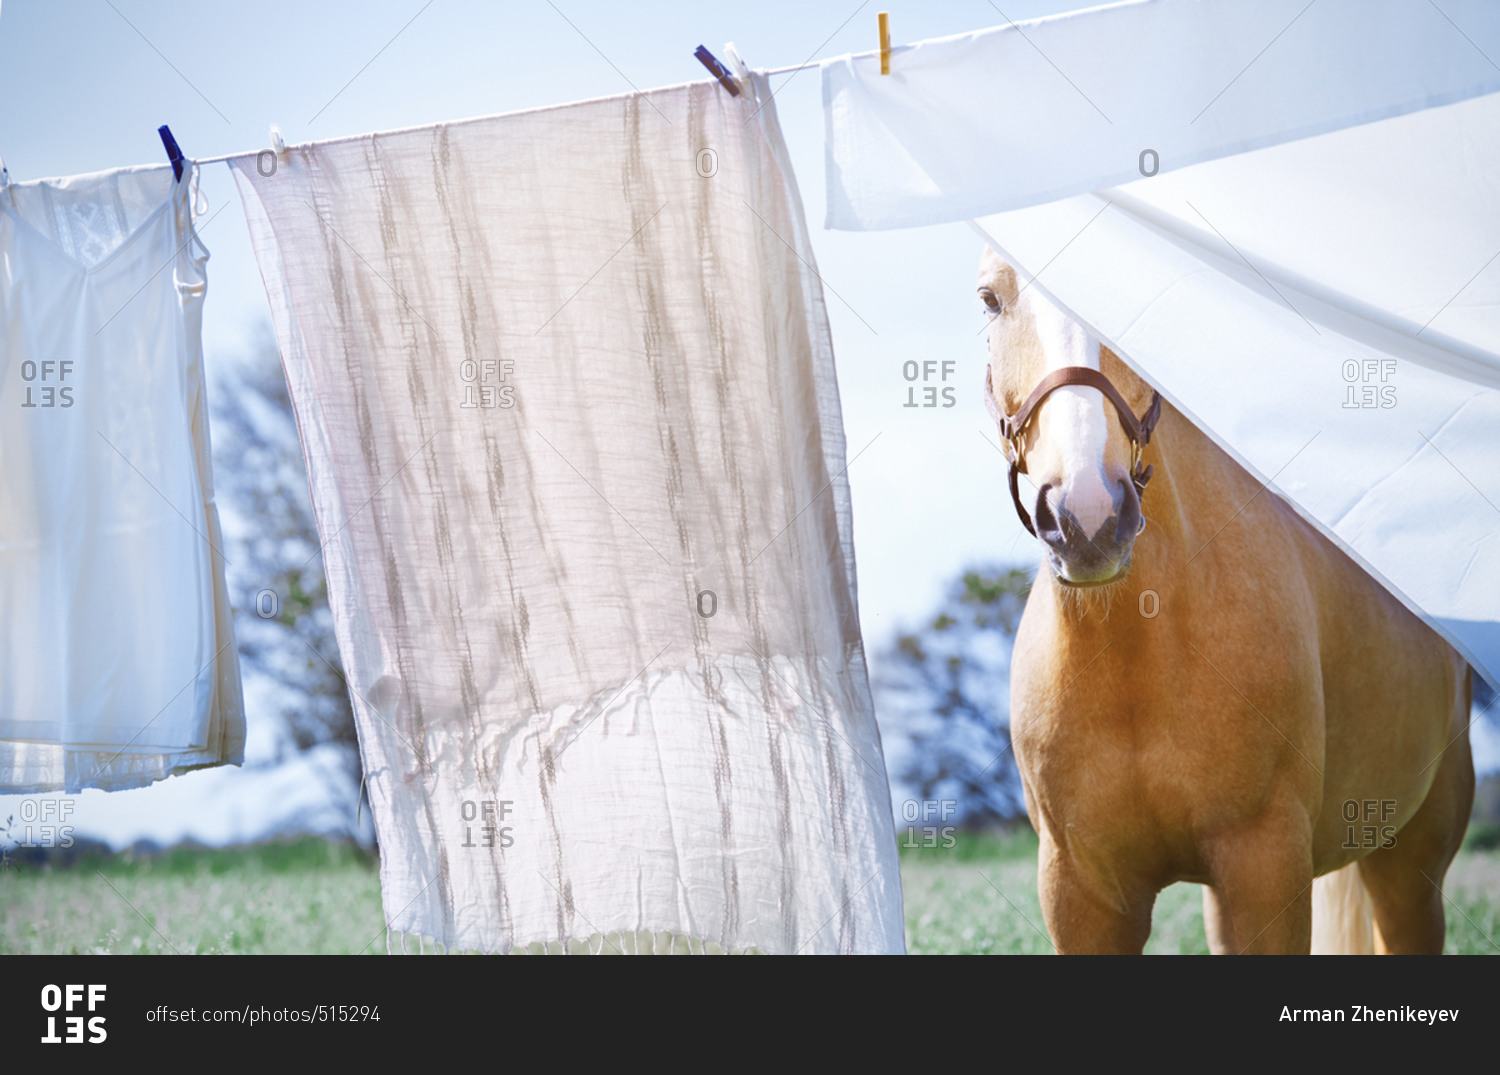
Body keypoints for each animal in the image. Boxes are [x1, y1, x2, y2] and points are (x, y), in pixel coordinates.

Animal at [977, 247, 1474, 954]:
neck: (1140, 651)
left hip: (1408, 864)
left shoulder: (1266, 867)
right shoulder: (1081, 893)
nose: (1087, 517)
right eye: (990, 300)